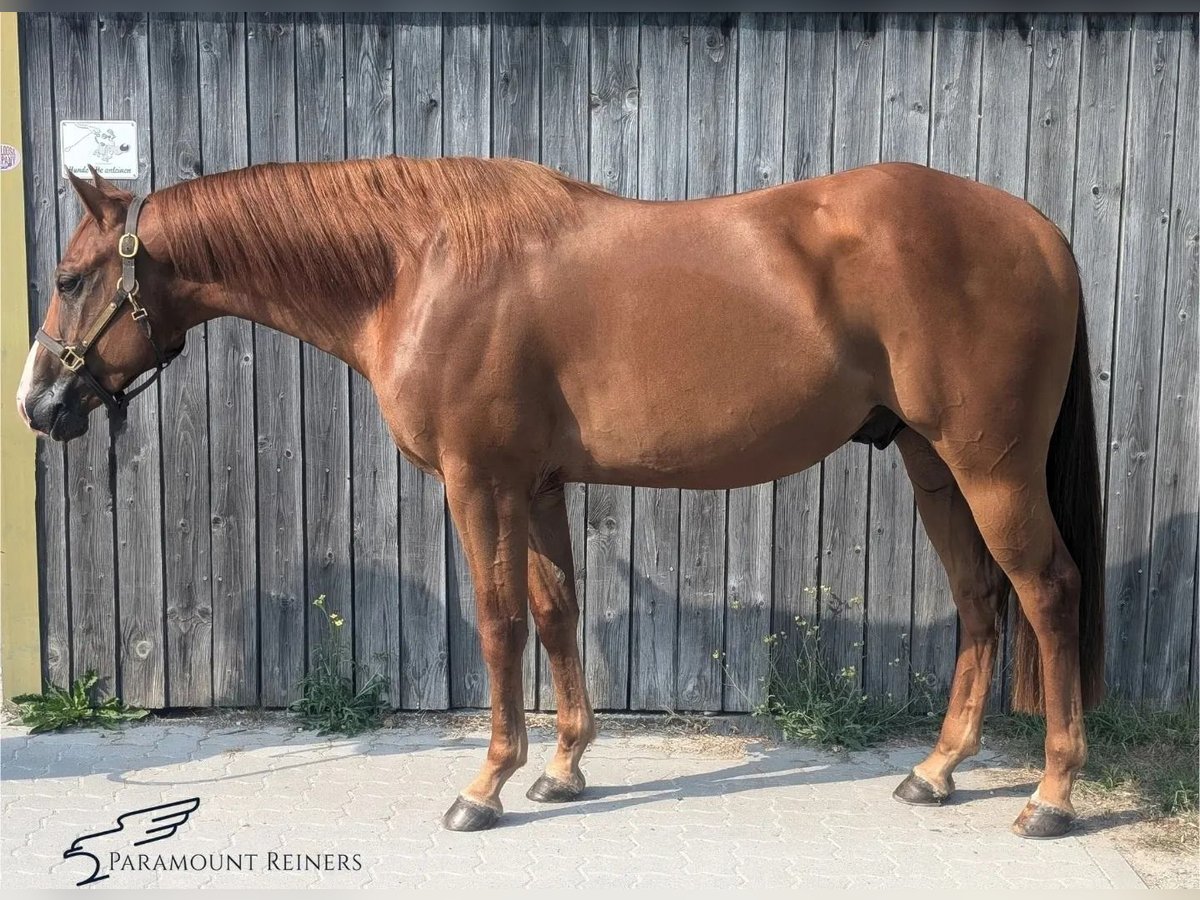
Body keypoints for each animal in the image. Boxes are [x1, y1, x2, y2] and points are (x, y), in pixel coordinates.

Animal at [21, 160, 1104, 840]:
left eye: (70, 278)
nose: (38, 405)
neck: (416, 268)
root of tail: (1041, 230)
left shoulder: (478, 480)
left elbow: (499, 621)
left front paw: (486, 786)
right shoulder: (537, 484)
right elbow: (554, 611)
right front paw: (565, 768)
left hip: (991, 467)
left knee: (1049, 592)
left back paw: (1051, 796)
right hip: (932, 462)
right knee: (981, 601)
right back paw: (937, 771)